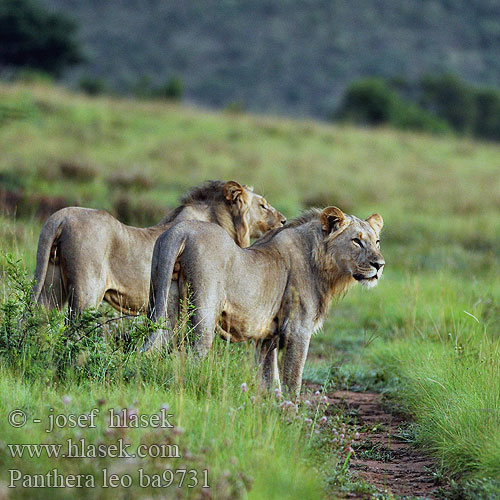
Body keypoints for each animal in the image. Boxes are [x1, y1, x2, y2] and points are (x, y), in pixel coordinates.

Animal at [143, 205, 384, 396]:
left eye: (377, 241)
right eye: (356, 241)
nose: (380, 265)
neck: (323, 265)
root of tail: (180, 230)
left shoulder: (268, 337)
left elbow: (269, 380)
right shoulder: (298, 330)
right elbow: (292, 380)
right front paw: (292, 419)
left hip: (163, 301)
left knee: (156, 348)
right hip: (204, 315)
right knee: (193, 356)